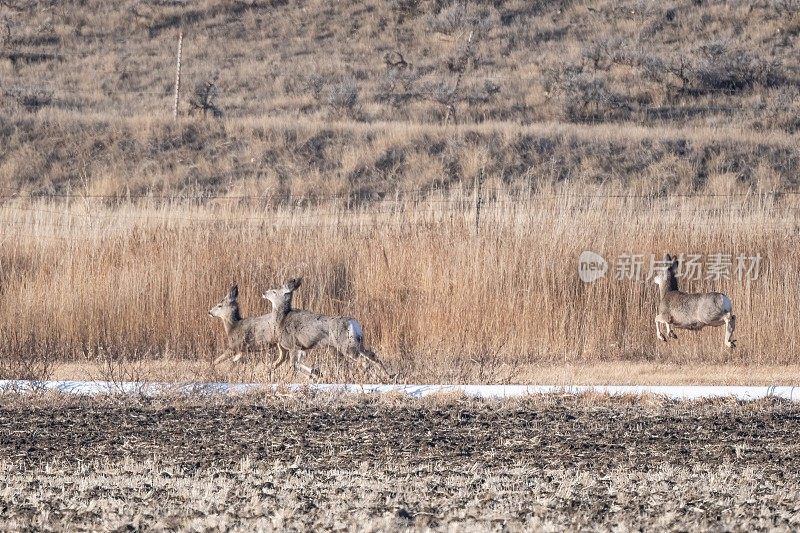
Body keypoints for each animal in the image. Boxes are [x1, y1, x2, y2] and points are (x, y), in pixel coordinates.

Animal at [260, 278, 396, 378]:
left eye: (274, 291)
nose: (263, 293)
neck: (282, 319)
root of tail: (353, 323)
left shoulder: (294, 345)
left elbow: (294, 364)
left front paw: (316, 373)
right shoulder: (301, 348)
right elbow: (292, 364)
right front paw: (316, 373)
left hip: (346, 345)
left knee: (363, 361)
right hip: (358, 342)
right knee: (372, 355)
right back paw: (388, 375)